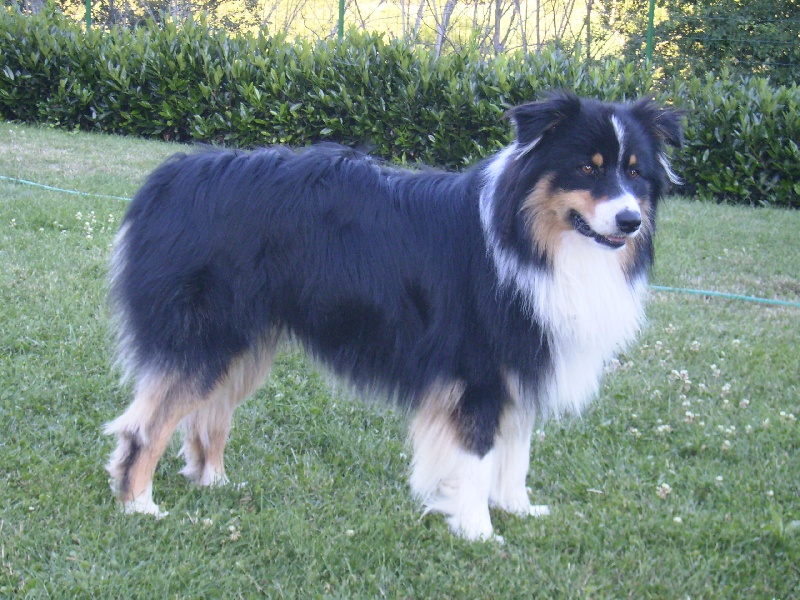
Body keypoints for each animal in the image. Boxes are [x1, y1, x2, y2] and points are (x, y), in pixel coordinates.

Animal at [104, 92, 680, 540]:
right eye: (588, 167)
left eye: (635, 172)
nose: (629, 221)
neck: (528, 235)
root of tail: (171, 175)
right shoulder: (478, 372)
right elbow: (476, 460)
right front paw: (478, 531)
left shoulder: (521, 362)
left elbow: (516, 453)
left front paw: (517, 509)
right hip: (206, 337)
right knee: (144, 425)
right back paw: (139, 506)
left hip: (244, 343)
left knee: (207, 417)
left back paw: (216, 483)